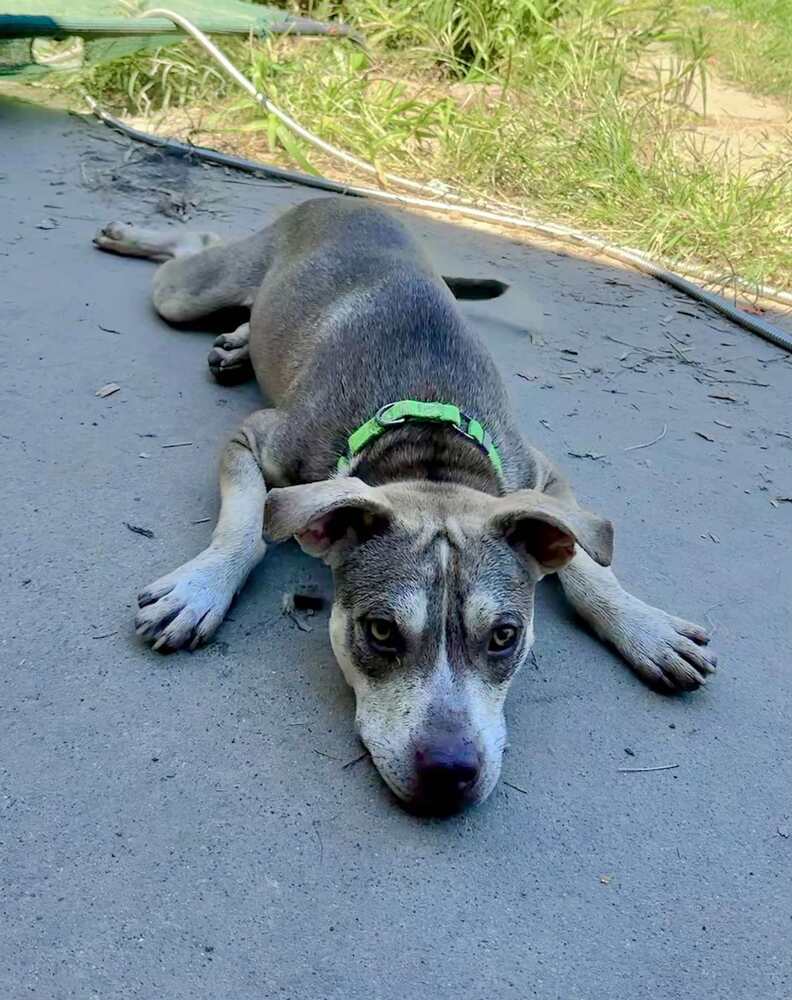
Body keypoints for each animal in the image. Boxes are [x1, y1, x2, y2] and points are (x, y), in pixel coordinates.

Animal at [94, 195, 716, 812]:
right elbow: (247, 527)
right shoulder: (252, 439)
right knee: (197, 243)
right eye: (380, 632)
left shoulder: (544, 476)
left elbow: (590, 564)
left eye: (504, 636)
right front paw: (200, 589)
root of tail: (345, 199)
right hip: (190, 294)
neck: (427, 452)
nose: (449, 772)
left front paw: (643, 626)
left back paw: (238, 343)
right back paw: (134, 237)